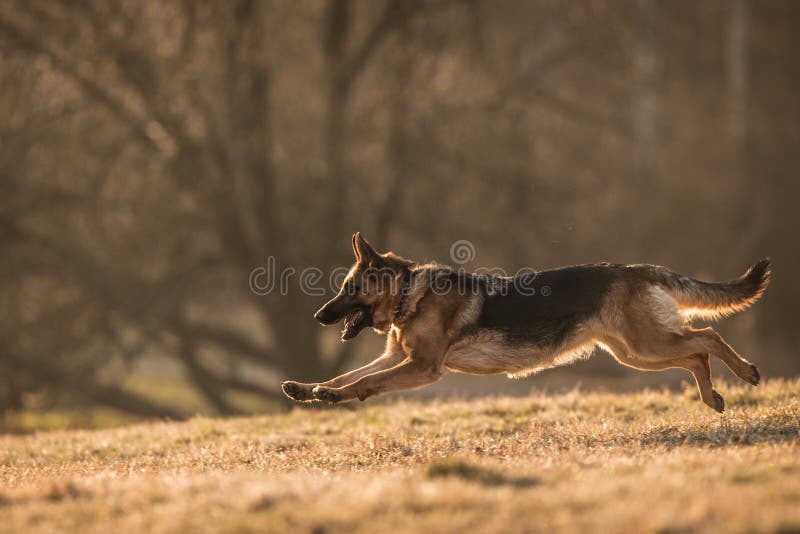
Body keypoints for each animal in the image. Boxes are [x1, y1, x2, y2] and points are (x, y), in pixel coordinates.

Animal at [280, 234, 768, 414]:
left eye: (347, 289)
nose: (318, 316)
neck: (407, 294)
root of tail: (639, 268)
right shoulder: (398, 357)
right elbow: (346, 374)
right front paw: (310, 389)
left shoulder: (421, 368)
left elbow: (366, 382)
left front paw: (334, 396)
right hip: (635, 354)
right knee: (698, 352)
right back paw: (712, 396)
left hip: (647, 345)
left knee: (708, 337)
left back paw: (745, 372)